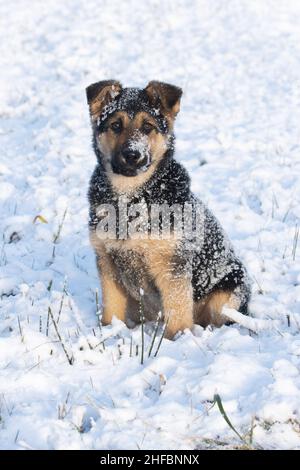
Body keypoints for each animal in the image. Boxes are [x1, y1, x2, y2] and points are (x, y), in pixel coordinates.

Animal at [86, 80, 251, 338]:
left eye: (147, 126)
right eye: (115, 125)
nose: (132, 155)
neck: (132, 198)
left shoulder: (172, 266)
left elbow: (178, 312)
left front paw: (178, 340)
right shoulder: (107, 262)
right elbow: (111, 310)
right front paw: (108, 332)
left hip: (228, 291)